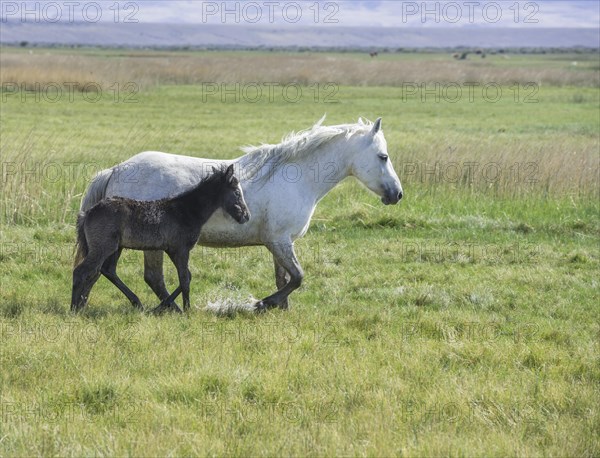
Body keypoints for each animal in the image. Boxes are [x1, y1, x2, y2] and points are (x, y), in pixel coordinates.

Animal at [71, 165, 250, 314]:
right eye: (237, 192)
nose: (245, 216)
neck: (186, 211)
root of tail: (88, 213)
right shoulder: (181, 249)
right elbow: (184, 279)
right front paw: (187, 310)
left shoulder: (172, 250)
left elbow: (187, 276)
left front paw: (162, 308)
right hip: (102, 247)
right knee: (82, 271)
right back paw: (73, 308)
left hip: (116, 247)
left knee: (107, 270)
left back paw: (136, 303)